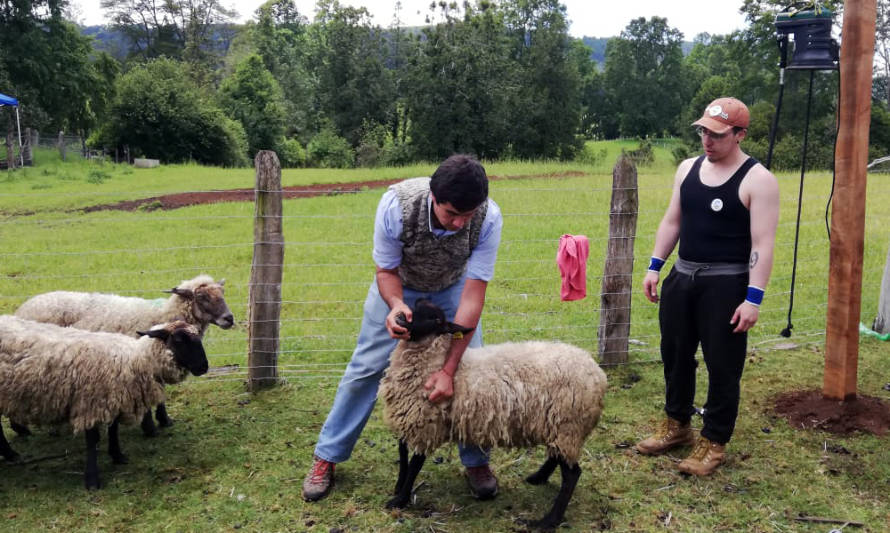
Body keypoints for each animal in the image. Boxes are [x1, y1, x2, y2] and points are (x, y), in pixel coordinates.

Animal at [13, 276, 232, 434]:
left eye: (222, 293)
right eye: (202, 297)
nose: (229, 318)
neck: (162, 316)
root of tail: (26, 306)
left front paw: (164, 420)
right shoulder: (141, 362)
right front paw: (150, 425)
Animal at [378, 300, 608, 528]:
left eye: (435, 319)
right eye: (414, 306)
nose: (400, 318)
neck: (435, 363)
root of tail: (598, 374)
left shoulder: (426, 425)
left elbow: (414, 465)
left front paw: (400, 500)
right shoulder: (408, 419)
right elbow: (403, 456)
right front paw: (399, 487)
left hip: (568, 425)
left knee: (572, 475)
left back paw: (547, 521)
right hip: (556, 426)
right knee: (556, 456)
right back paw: (538, 478)